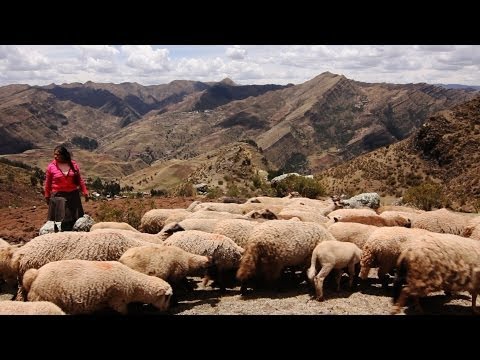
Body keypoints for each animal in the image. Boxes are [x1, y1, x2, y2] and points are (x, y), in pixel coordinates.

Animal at [23, 258, 172, 316]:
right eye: (167, 297)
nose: (167, 310)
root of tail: (35, 274)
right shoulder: (118, 300)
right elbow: (123, 311)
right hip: (43, 298)